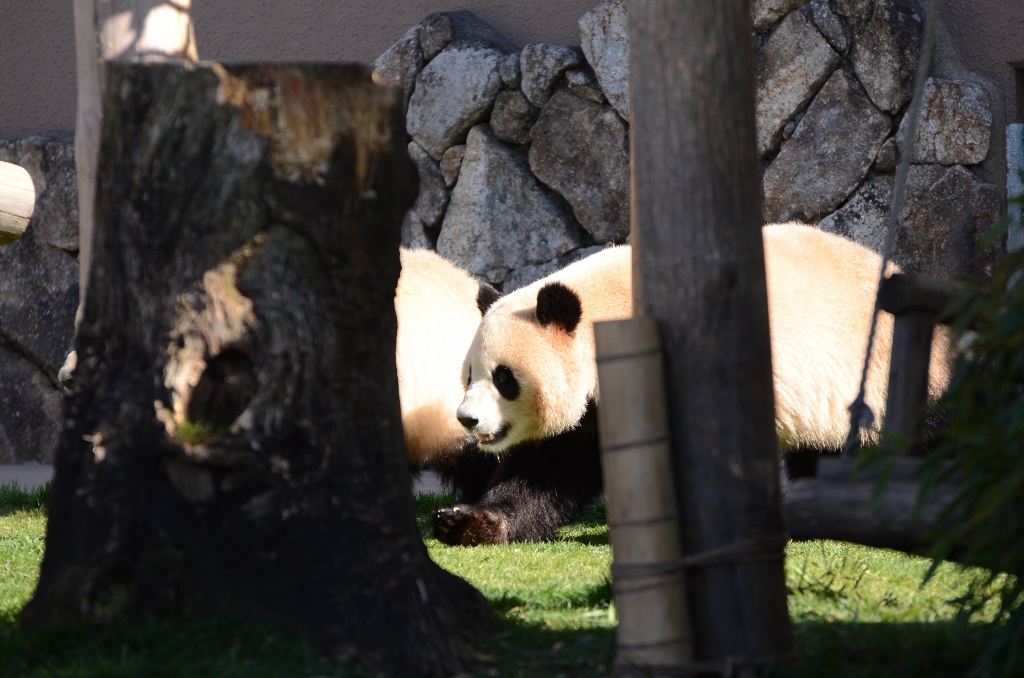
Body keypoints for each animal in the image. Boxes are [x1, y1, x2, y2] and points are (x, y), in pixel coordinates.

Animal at [401, 225, 950, 548]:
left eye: (504, 378)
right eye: (467, 374)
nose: (466, 419)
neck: (603, 310)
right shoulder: (591, 409)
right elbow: (548, 472)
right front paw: (465, 521)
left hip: (882, 370)